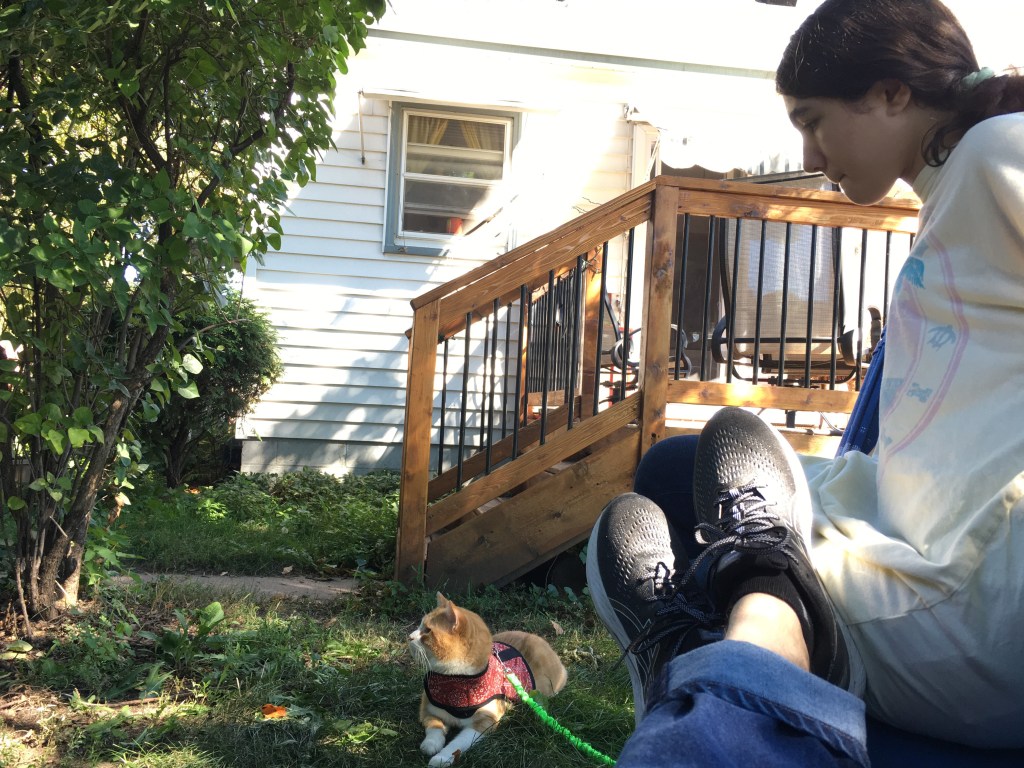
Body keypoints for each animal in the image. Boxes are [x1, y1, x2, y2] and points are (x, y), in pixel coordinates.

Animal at [408, 592, 568, 767]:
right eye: (420, 626)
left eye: (427, 630)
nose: (409, 637)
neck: (457, 680)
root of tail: (538, 638)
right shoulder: (428, 708)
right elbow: (434, 727)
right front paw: (431, 745)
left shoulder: (484, 723)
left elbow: (456, 745)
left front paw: (441, 758)